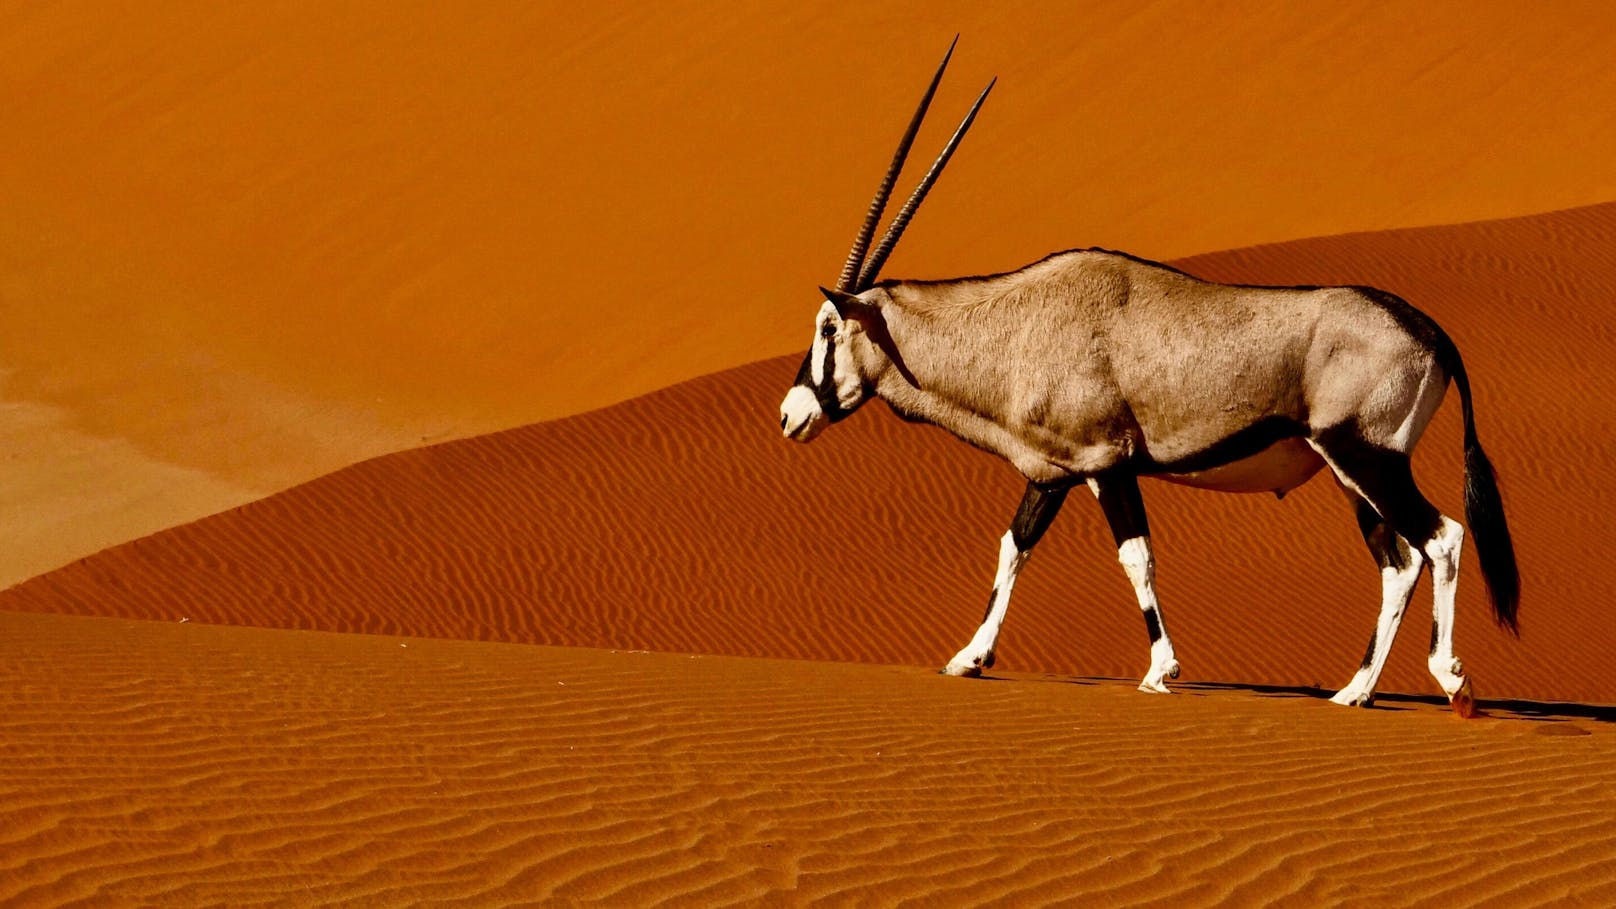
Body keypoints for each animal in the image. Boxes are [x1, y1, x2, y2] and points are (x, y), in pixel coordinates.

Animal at [778, 42, 1512, 711]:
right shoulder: (1052, 473)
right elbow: (1013, 546)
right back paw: (1354, 691)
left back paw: (1452, 680)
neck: (1021, 322)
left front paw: (1161, 670)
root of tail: (1429, 329)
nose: (790, 416)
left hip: (1367, 457)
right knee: (1400, 562)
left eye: (827, 328)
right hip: (1351, 474)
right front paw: (969, 657)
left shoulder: (1107, 463)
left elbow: (1135, 556)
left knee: (1441, 537)